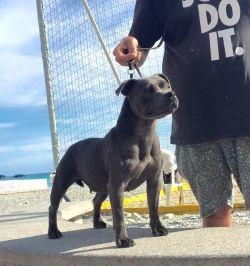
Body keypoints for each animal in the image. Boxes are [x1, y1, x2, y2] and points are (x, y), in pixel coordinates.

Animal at [48, 74, 178, 248]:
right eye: (147, 90)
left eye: (167, 86)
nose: (171, 94)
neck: (143, 133)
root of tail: (71, 147)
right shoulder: (117, 184)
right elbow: (119, 214)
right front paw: (122, 239)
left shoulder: (154, 181)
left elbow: (153, 206)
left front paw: (157, 228)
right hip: (62, 182)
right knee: (53, 207)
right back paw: (53, 232)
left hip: (103, 186)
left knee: (96, 200)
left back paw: (97, 223)